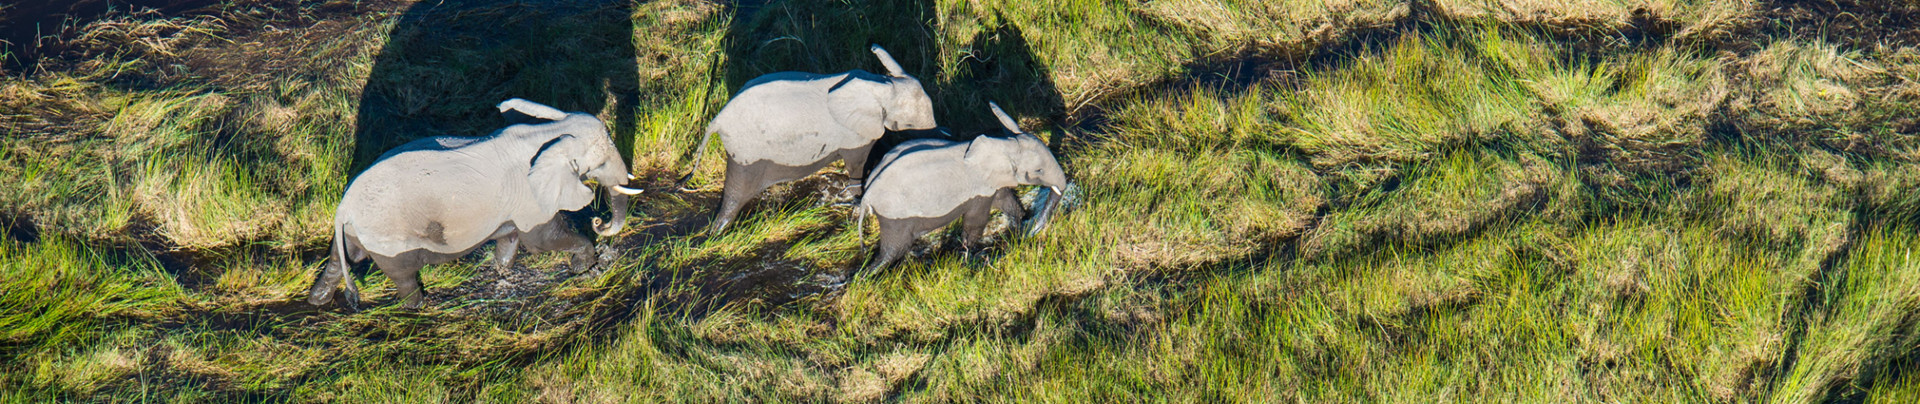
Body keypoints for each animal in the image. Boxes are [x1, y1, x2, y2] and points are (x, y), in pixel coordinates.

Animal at [306, 98, 643, 310]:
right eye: (599, 164)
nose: (599, 222)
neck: (551, 133)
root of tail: (343, 208)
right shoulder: (530, 195)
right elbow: (541, 241)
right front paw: (585, 267)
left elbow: (510, 236)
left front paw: (504, 274)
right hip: (388, 234)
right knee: (402, 275)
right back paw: (417, 307)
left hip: (356, 232)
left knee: (341, 258)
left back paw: (317, 301)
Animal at [676, 44, 938, 234]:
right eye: (909, 124)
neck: (881, 84)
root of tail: (717, 120)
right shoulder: (854, 134)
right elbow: (858, 164)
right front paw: (857, 202)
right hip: (746, 149)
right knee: (737, 193)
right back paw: (717, 233)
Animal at [854, 102, 1068, 272]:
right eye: (1038, 170)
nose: (1030, 233)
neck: (1002, 144)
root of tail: (867, 197)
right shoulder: (978, 190)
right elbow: (976, 221)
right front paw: (968, 258)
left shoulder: (993, 180)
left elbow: (1004, 199)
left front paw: (1021, 220)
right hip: (895, 218)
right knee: (895, 248)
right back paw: (868, 277)